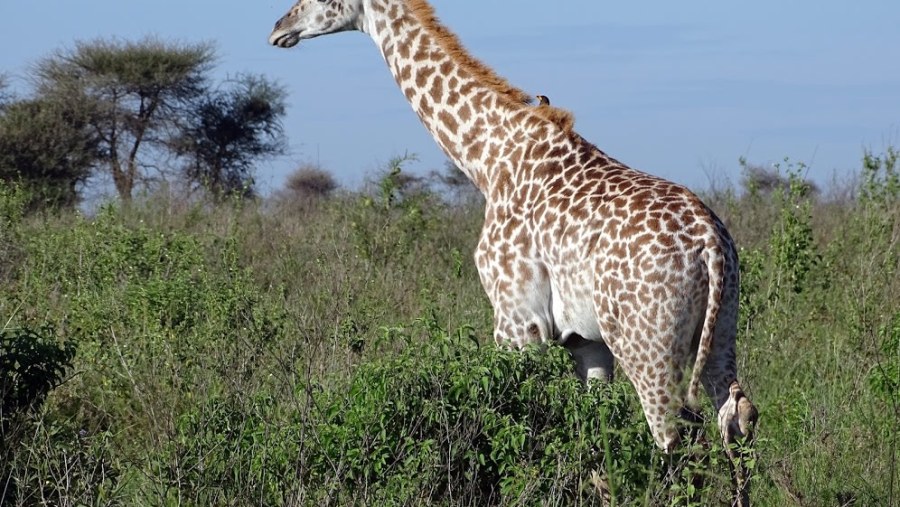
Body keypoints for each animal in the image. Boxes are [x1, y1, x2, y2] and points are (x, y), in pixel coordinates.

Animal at [268, 0, 760, 504]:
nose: (279, 28)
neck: (487, 159)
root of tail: (709, 243)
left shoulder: (518, 321)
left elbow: (514, 416)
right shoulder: (586, 341)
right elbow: (592, 438)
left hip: (647, 346)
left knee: (678, 440)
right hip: (720, 331)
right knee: (736, 418)